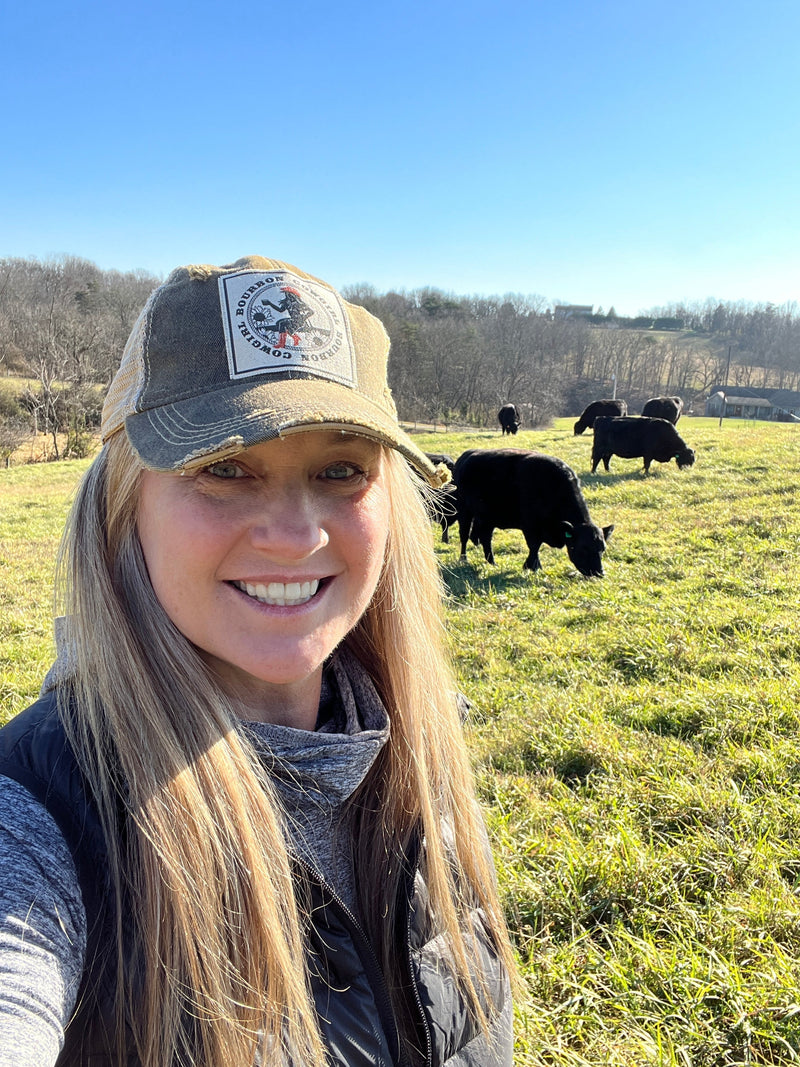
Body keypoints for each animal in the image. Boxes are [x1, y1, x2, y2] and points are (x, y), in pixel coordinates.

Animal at [454, 452, 618, 584]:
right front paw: (532, 566)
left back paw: (492, 562)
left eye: (602, 548)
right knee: (464, 536)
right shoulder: (530, 527)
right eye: (583, 548)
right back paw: (463, 559)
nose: (599, 572)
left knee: (485, 538)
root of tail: (465, 457)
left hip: (487, 518)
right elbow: (534, 546)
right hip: (464, 512)